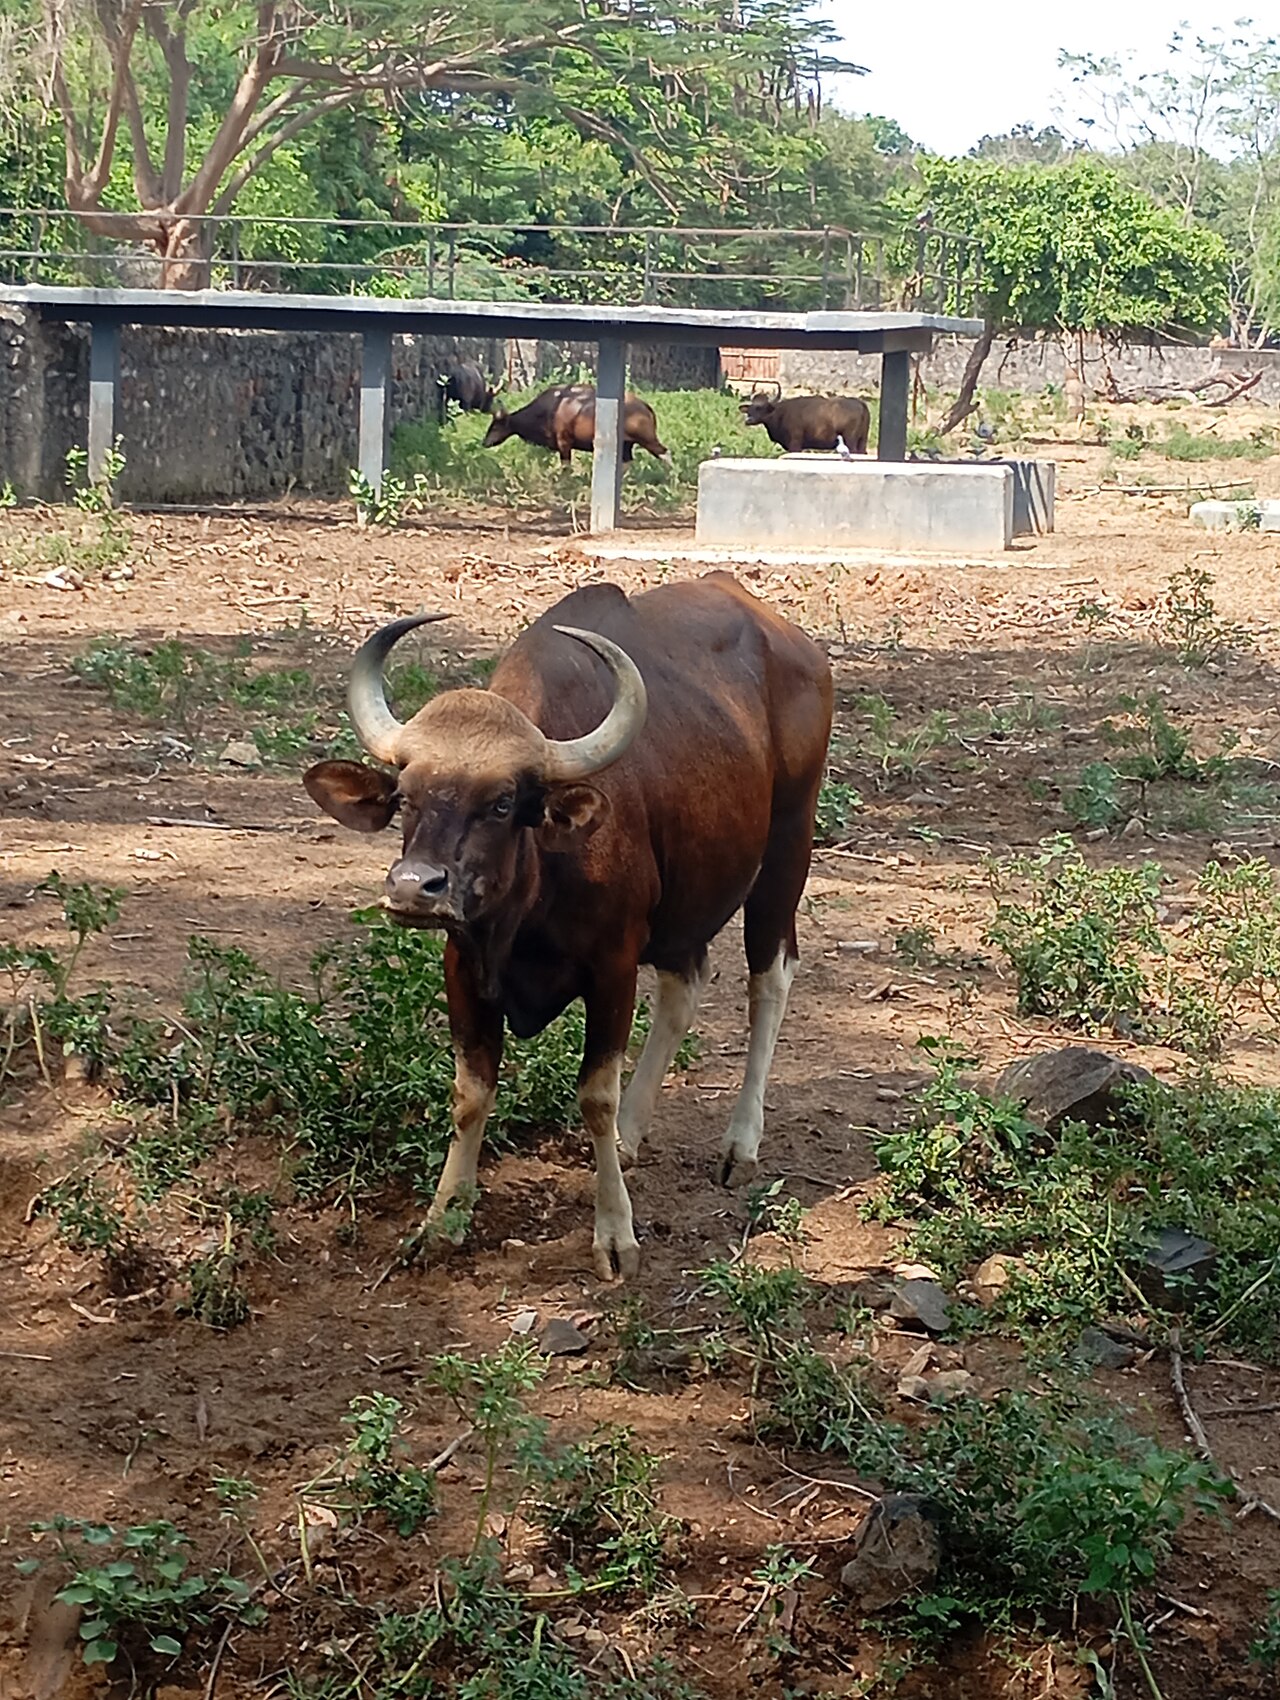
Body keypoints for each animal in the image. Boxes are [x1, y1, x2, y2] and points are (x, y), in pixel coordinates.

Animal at [303, 575, 832, 1279]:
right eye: (407, 797)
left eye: (502, 802)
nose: (416, 888)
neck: (530, 902)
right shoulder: (463, 966)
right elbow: (470, 1093)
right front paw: (444, 1218)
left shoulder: (612, 968)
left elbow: (594, 1095)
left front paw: (615, 1234)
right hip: (688, 899)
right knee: (686, 984)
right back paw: (633, 1136)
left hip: (786, 851)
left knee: (768, 980)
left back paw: (739, 1144)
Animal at [483, 384, 668, 465]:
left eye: (496, 426)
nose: (485, 442)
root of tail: (646, 407)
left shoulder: (564, 441)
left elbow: (566, 467)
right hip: (627, 445)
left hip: (647, 438)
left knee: (666, 453)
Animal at [742, 391, 871, 454]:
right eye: (750, 408)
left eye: (761, 408)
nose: (748, 420)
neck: (780, 413)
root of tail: (861, 404)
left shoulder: (795, 445)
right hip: (862, 441)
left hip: (851, 441)